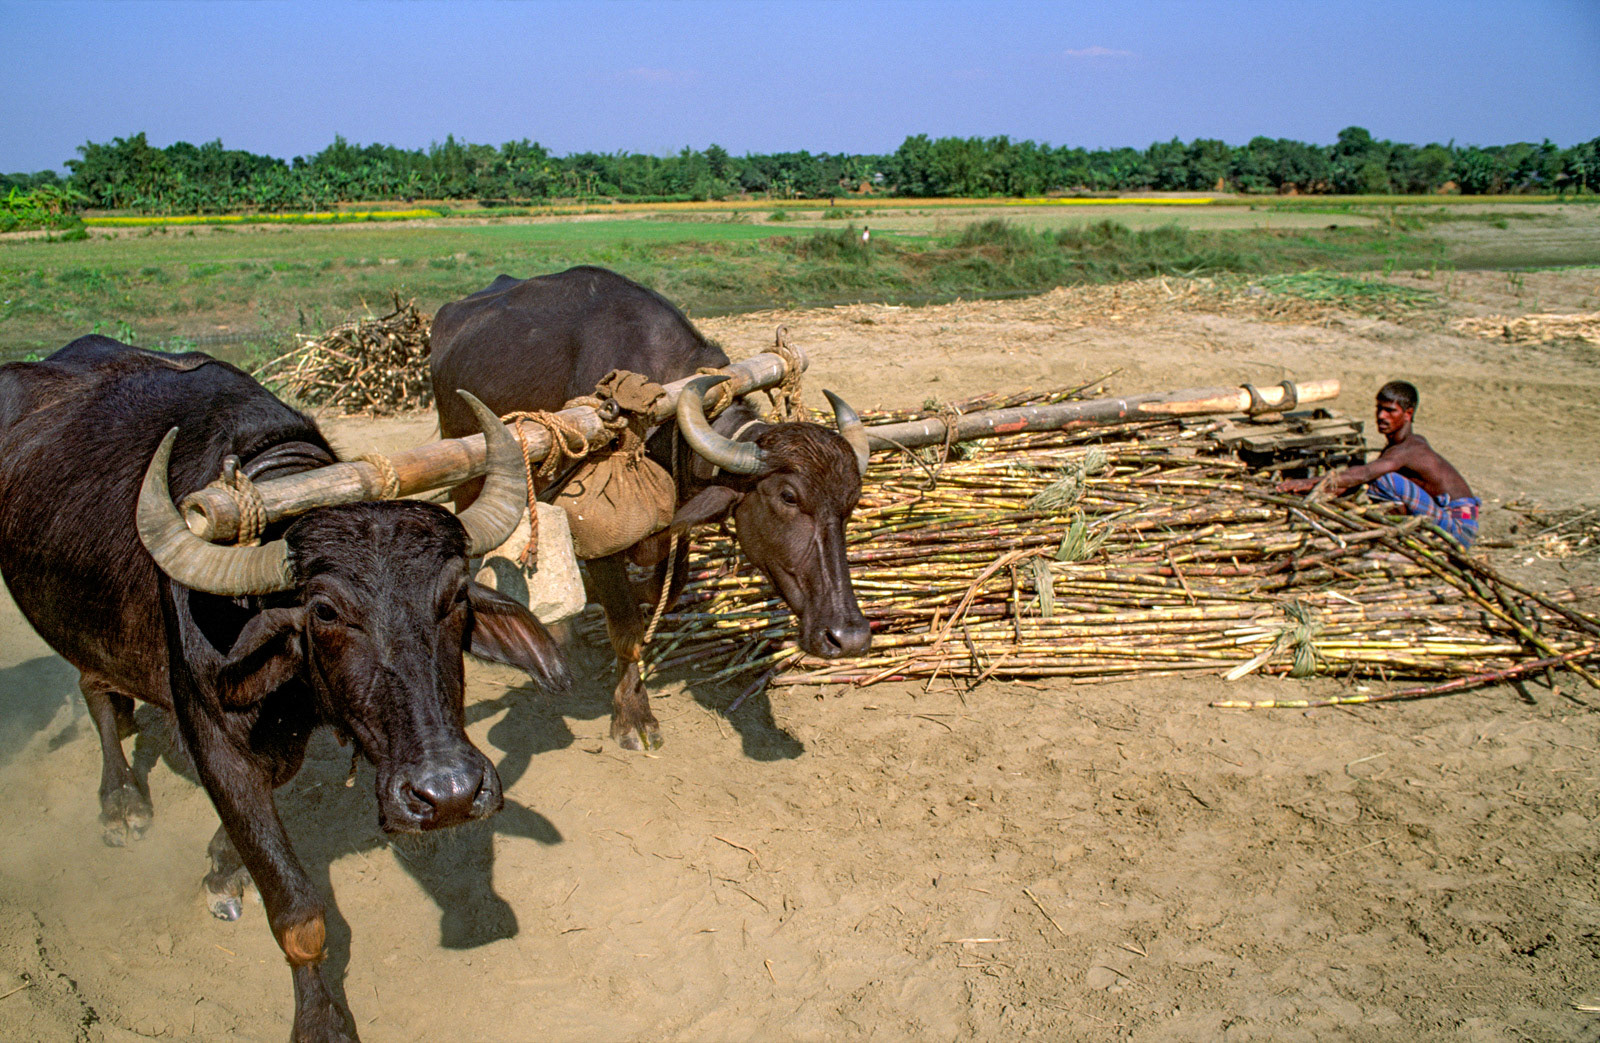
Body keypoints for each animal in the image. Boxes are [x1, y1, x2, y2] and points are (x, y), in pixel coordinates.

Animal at [0, 337, 569, 1042]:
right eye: (323, 611)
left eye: (455, 597)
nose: (450, 795)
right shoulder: (215, 733)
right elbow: (296, 912)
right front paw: (321, 1019)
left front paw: (223, 866)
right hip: (76, 627)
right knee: (96, 689)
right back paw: (121, 804)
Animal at [430, 266, 871, 751]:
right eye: (788, 497)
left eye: (849, 505)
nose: (849, 637)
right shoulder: (599, 539)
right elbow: (626, 628)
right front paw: (633, 716)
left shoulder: (676, 521)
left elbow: (669, 587)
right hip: (471, 470)